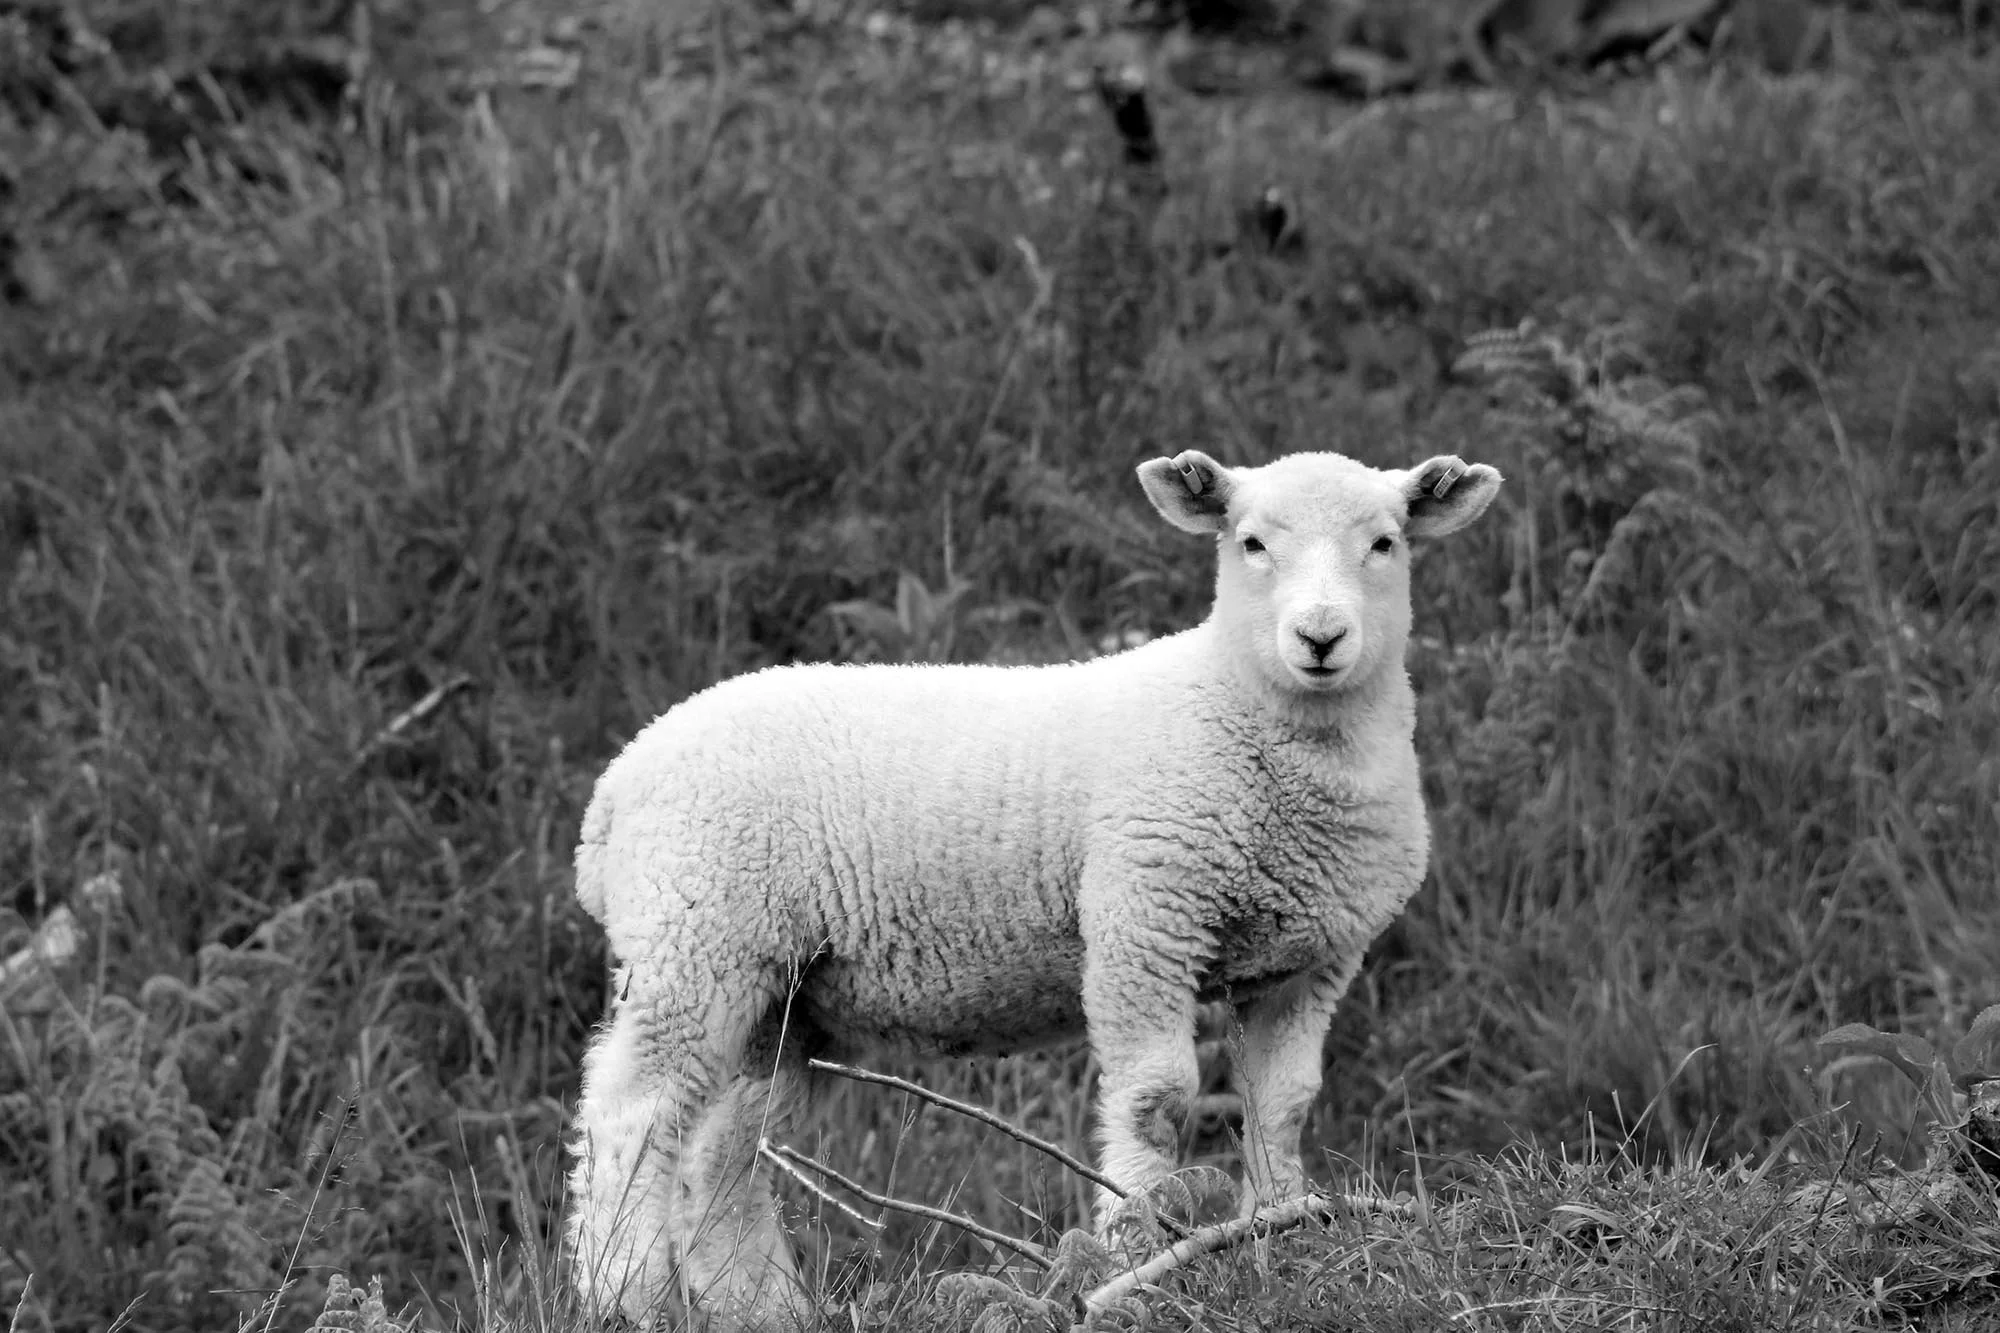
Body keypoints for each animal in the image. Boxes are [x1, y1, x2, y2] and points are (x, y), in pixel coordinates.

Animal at [564, 447, 1502, 1331]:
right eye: (1251, 543)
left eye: (1385, 543)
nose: (1319, 637)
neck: (1234, 706)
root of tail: (619, 784)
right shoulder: (1143, 920)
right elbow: (1157, 1099)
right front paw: (1133, 1254)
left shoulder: (1309, 964)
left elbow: (1282, 1107)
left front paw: (1277, 1239)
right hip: (694, 935)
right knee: (631, 1115)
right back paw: (622, 1293)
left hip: (784, 995)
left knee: (723, 1149)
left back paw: (761, 1306)